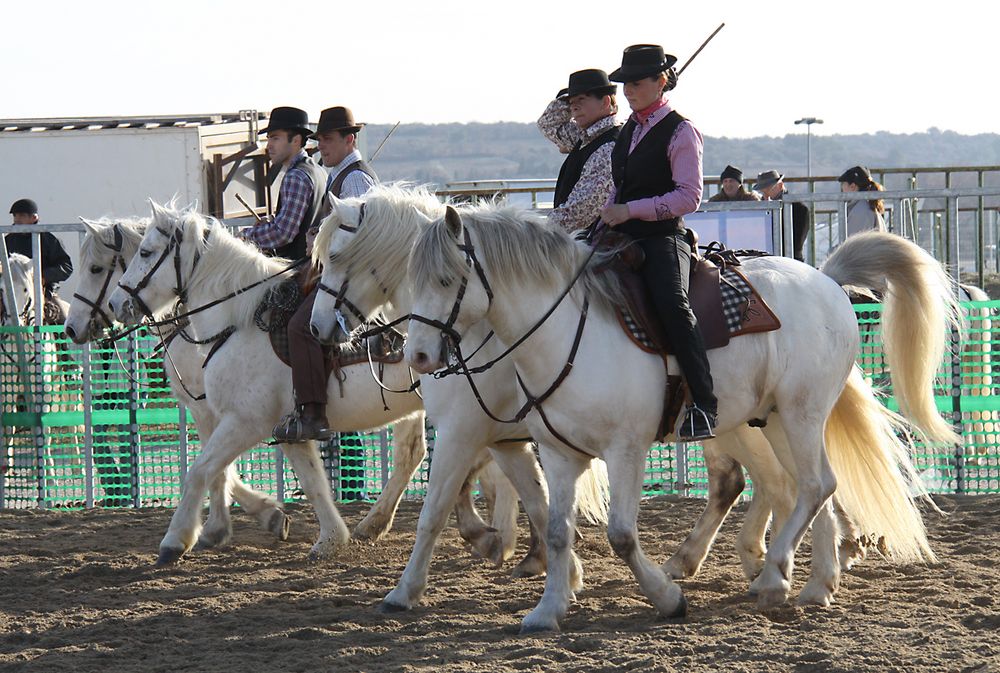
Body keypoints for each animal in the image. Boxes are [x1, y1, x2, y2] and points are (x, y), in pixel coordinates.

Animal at [65, 218, 292, 544]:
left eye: (96, 269)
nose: (71, 328)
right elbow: (219, 465)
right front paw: (264, 512)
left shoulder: (208, 408)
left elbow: (216, 466)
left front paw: (220, 524)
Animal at [310, 185, 608, 592]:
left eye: (335, 256)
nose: (315, 326)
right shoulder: (497, 431)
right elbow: (517, 488)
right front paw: (523, 548)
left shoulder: (479, 426)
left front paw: (502, 541)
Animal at [406, 206, 960, 632]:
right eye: (417, 281)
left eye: (447, 279)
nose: (416, 356)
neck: (565, 332)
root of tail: (825, 280)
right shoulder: (559, 454)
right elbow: (558, 530)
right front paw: (547, 610)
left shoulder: (624, 450)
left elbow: (621, 535)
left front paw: (667, 597)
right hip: (776, 420)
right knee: (812, 486)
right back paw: (813, 584)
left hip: (801, 412)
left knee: (811, 485)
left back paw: (773, 575)